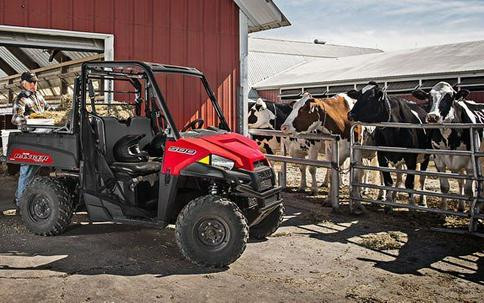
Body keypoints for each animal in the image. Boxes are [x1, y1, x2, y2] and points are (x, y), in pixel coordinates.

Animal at [348, 81, 432, 209]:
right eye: (358, 96)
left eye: (370, 97)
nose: (350, 114)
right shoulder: (382, 156)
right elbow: (388, 180)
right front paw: (388, 203)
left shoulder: (411, 159)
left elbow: (410, 183)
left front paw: (411, 204)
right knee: (399, 177)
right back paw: (393, 196)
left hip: (425, 157)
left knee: (422, 178)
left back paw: (423, 201)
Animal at [410, 82, 482, 213]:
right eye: (429, 98)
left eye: (450, 98)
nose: (432, 117)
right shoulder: (438, 159)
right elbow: (444, 187)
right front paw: (443, 210)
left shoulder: (471, 162)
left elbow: (469, 190)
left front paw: (471, 211)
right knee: (460, 182)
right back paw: (460, 206)